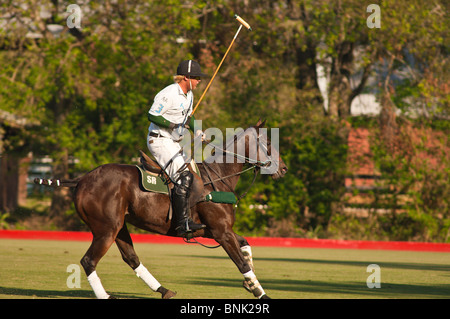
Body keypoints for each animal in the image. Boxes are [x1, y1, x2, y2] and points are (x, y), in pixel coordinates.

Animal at [36, 120, 288, 300]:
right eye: (268, 144)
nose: (283, 169)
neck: (218, 178)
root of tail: (81, 180)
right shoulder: (220, 231)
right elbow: (241, 262)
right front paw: (261, 292)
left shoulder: (214, 230)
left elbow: (245, 244)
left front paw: (251, 284)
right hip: (105, 229)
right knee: (89, 261)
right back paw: (107, 296)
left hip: (118, 226)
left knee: (131, 257)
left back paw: (164, 290)